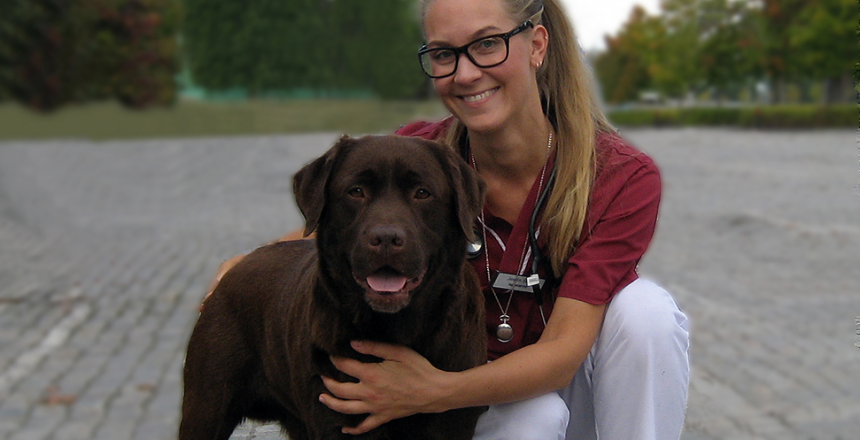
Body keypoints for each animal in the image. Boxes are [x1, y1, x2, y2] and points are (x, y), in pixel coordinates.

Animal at [178, 135, 488, 440]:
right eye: (356, 191)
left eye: (422, 193)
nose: (386, 238)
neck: (392, 331)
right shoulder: (333, 419)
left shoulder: (450, 419)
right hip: (206, 406)